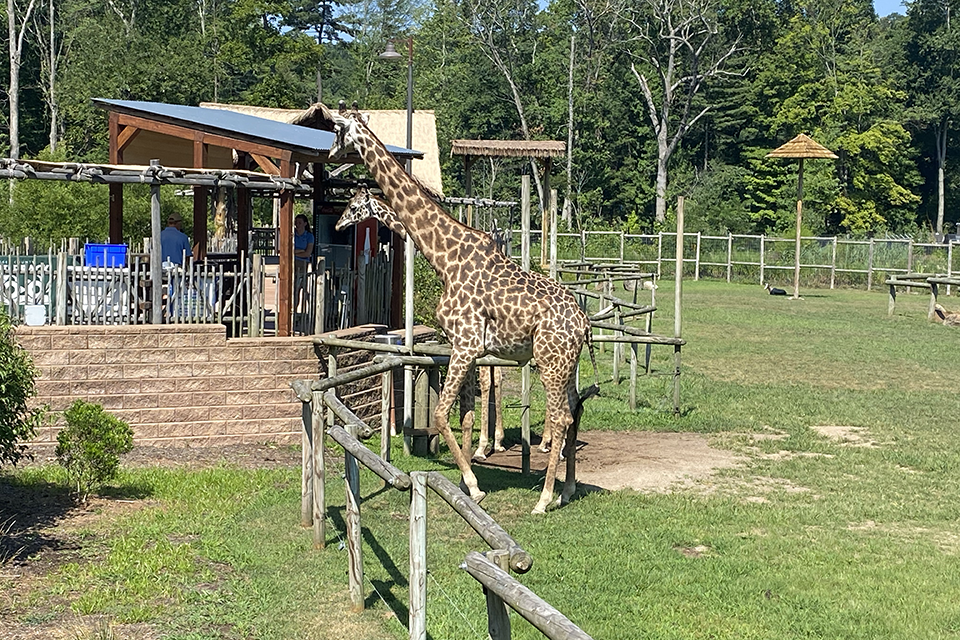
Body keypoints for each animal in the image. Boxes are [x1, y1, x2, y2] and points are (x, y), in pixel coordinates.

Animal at [336, 186, 506, 460]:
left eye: (353, 207)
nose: (339, 225)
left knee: (490, 379)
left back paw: (483, 447)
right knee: (498, 377)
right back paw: (501, 441)